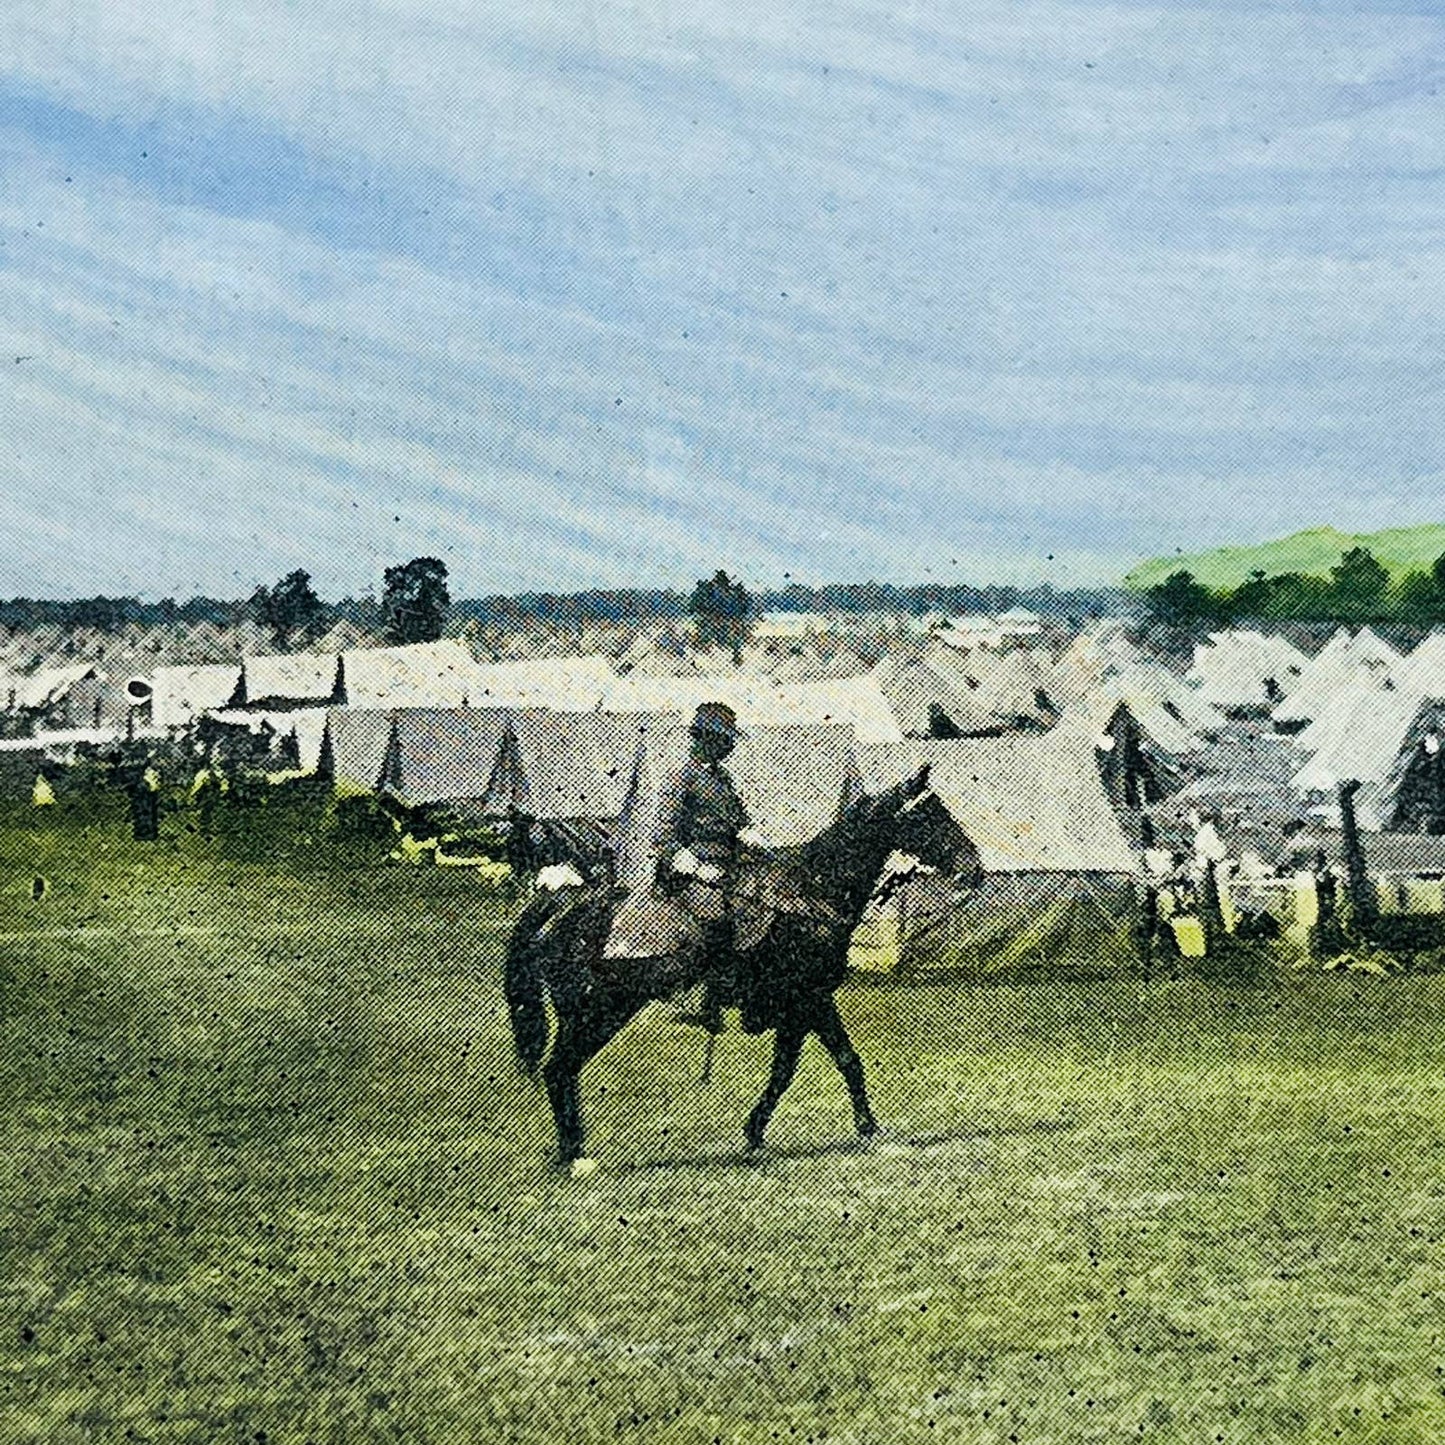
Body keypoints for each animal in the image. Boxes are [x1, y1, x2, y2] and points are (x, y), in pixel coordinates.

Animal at [499, 762, 982, 1167]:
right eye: (928, 816)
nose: (975, 868)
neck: (813, 892)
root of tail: (565, 902)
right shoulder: (806, 1000)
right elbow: (811, 1066)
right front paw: (842, 1130)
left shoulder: (804, 1005)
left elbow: (830, 1063)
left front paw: (843, 1128)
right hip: (600, 1010)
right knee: (560, 1067)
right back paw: (575, 1154)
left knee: (562, 1069)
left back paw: (571, 1148)